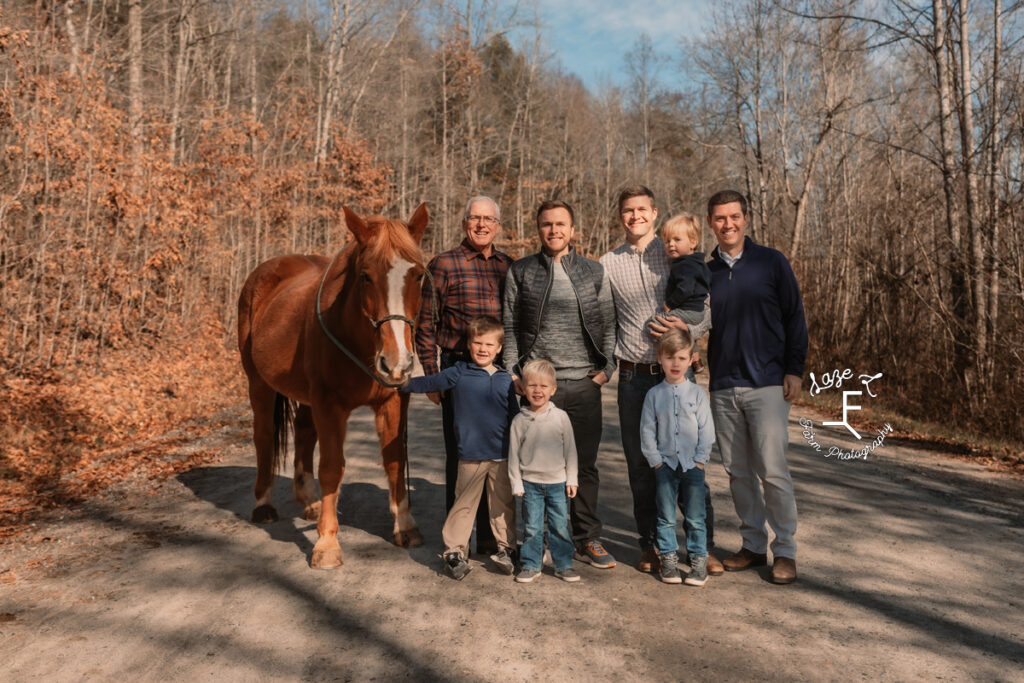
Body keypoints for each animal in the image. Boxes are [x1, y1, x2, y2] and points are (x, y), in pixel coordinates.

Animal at [236, 205, 428, 569]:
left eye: (419, 275)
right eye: (365, 276)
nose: (396, 362)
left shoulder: (392, 401)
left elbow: (394, 460)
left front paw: (406, 526)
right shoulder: (329, 405)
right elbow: (331, 468)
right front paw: (326, 544)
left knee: (303, 432)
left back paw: (309, 501)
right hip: (259, 384)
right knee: (264, 437)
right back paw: (263, 504)